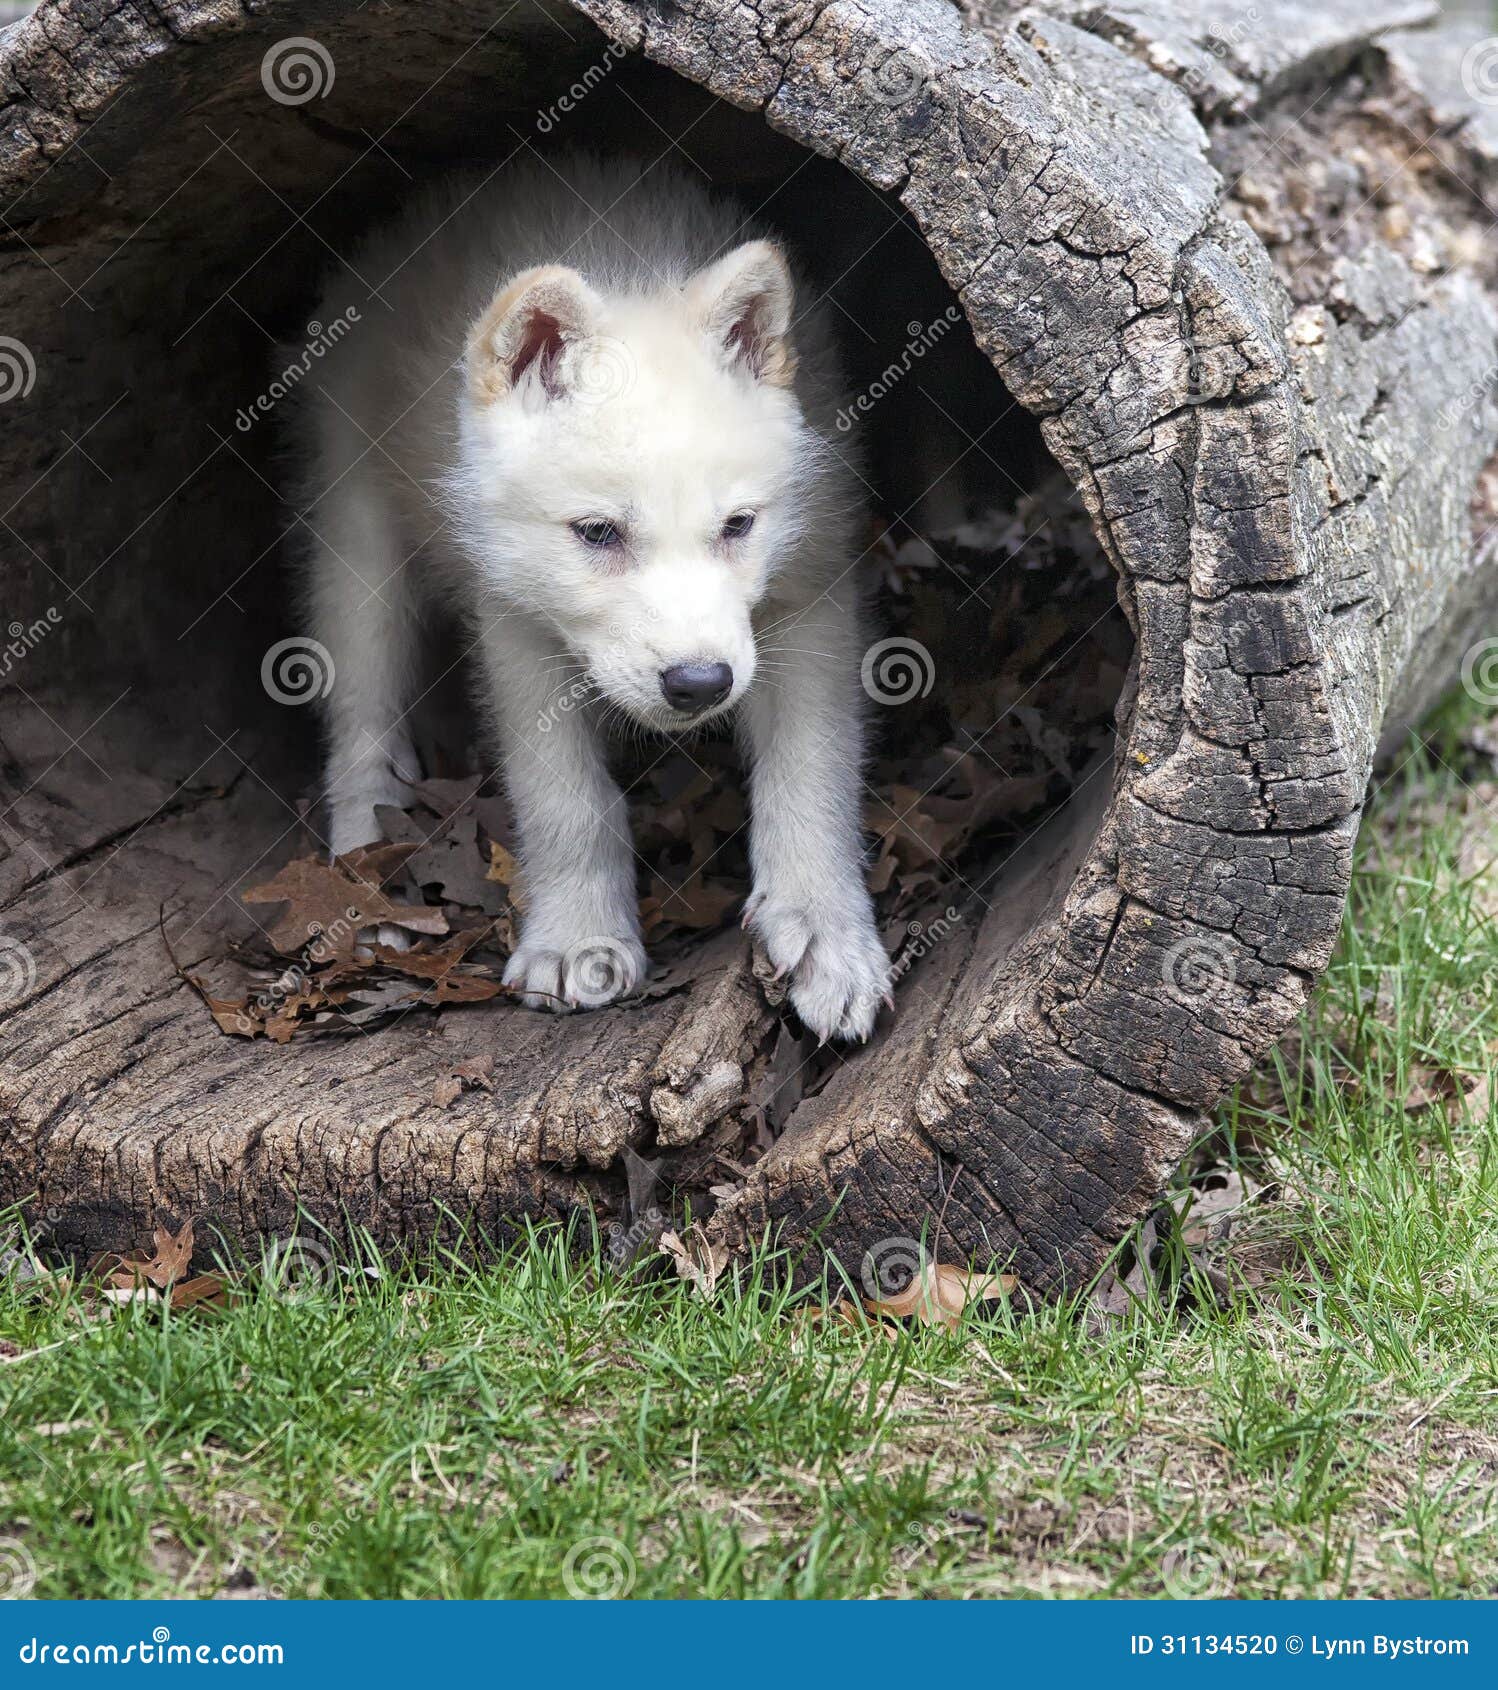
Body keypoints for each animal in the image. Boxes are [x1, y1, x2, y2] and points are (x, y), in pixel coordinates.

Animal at [290, 155, 890, 1042]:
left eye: (739, 526)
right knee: (361, 725)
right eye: (599, 533)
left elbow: (811, 775)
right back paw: (365, 883)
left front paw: (826, 936)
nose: (699, 685)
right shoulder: (515, 623)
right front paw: (580, 939)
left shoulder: (809, 593)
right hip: (358, 549)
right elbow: (565, 800)